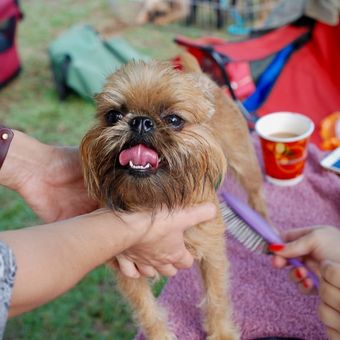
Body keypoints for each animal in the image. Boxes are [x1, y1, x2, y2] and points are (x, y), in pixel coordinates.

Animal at [81, 54, 266, 338]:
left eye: (174, 120)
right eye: (113, 116)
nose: (140, 121)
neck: (156, 202)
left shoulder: (212, 252)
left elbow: (216, 297)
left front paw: (221, 332)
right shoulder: (128, 270)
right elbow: (146, 310)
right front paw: (159, 335)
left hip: (244, 161)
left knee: (257, 193)